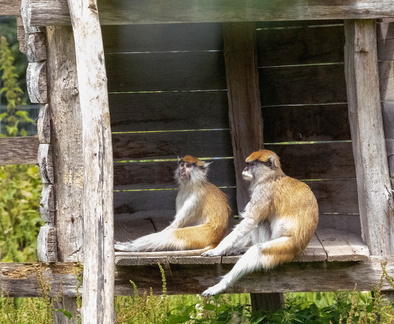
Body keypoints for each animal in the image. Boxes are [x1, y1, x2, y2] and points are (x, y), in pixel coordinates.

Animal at [202, 149, 318, 296]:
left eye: (251, 164)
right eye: (247, 164)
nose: (245, 169)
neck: (272, 176)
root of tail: (301, 246)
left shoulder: (263, 192)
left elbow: (250, 221)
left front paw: (216, 250)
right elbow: (253, 223)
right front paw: (232, 248)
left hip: (285, 246)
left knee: (257, 250)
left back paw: (221, 285)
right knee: (262, 223)